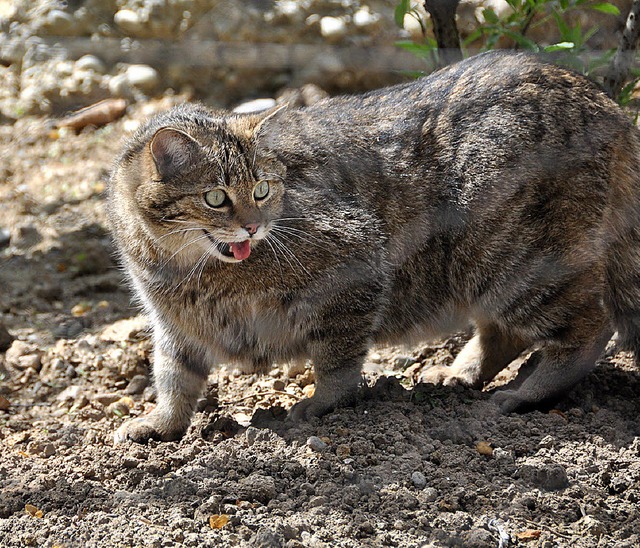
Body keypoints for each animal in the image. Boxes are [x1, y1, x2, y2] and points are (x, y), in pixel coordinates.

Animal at [107, 51, 640, 444]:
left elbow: (337, 361)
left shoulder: (353, 263)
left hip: (515, 262)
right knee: (502, 333)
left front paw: (322, 404)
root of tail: (609, 105)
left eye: (261, 190)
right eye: (216, 197)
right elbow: (173, 381)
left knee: (590, 329)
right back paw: (460, 373)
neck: (179, 268)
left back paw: (528, 393)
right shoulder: (175, 327)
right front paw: (161, 425)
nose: (254, 228)